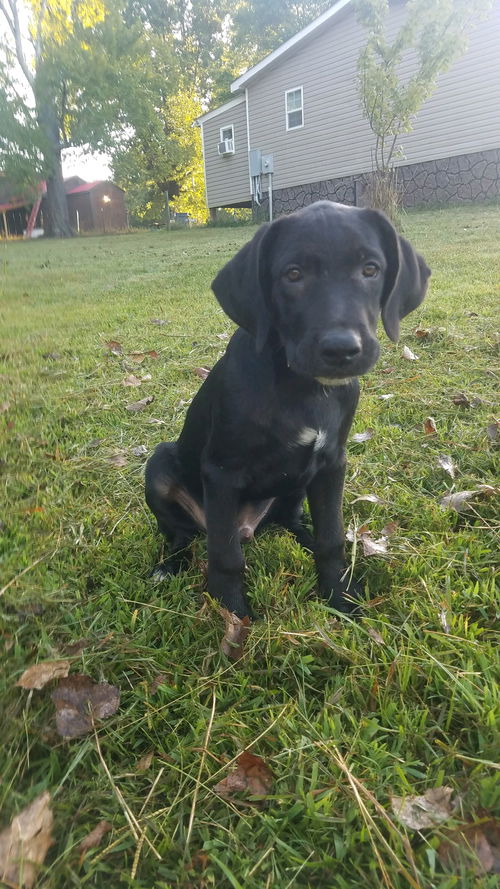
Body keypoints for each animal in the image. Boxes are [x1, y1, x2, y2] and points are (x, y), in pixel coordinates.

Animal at [146, 201, 430, 616]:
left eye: (371, 269)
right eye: (293, 275)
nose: (341, 349)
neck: (303, 388)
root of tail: (249, 527)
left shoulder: (331, 463)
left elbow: (331, 537)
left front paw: (339, 597)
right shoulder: (221, 472)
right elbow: (225, 557)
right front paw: (233, 615)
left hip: (297, 483)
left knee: (291, 520)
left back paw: (305, 539)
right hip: (161, 468)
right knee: (184, 534)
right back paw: (168, 567)